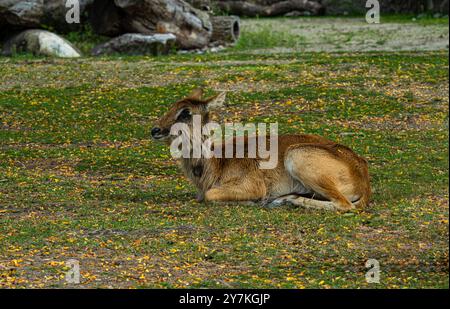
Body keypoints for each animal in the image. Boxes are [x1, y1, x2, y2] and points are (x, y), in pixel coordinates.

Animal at [151, 88, 370, 211]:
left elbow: (210, 195)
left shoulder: (251, 185)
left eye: (185, 112)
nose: (155, 130)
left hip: (297, 156)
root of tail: (363, 177)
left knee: (345, 205)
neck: (216, 163)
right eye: (172, 106)